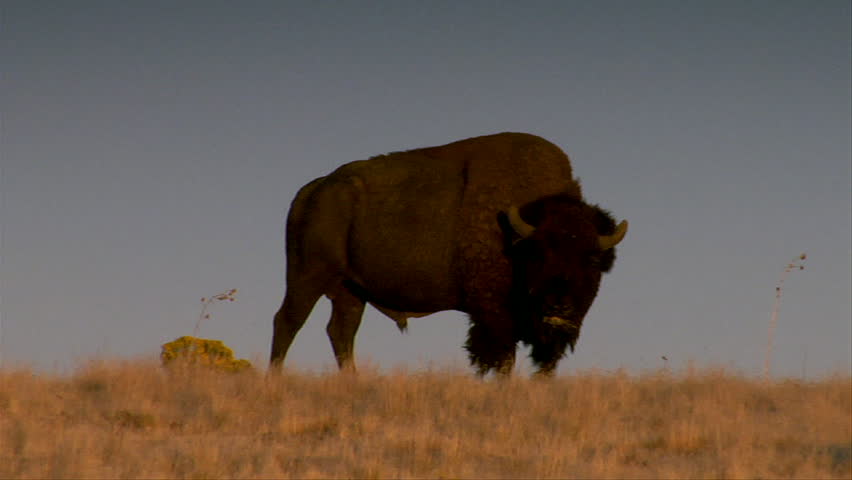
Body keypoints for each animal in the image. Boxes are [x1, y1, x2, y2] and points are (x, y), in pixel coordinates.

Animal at [270, 132, 627, 376]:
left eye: (592, 259)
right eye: (538, 253)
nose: (559, 305)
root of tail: (314, 189)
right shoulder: (493, 315)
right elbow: (502, 357)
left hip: (351, 291)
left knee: (341, 332)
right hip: (307, 276)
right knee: (287, 321)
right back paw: (276, 376)